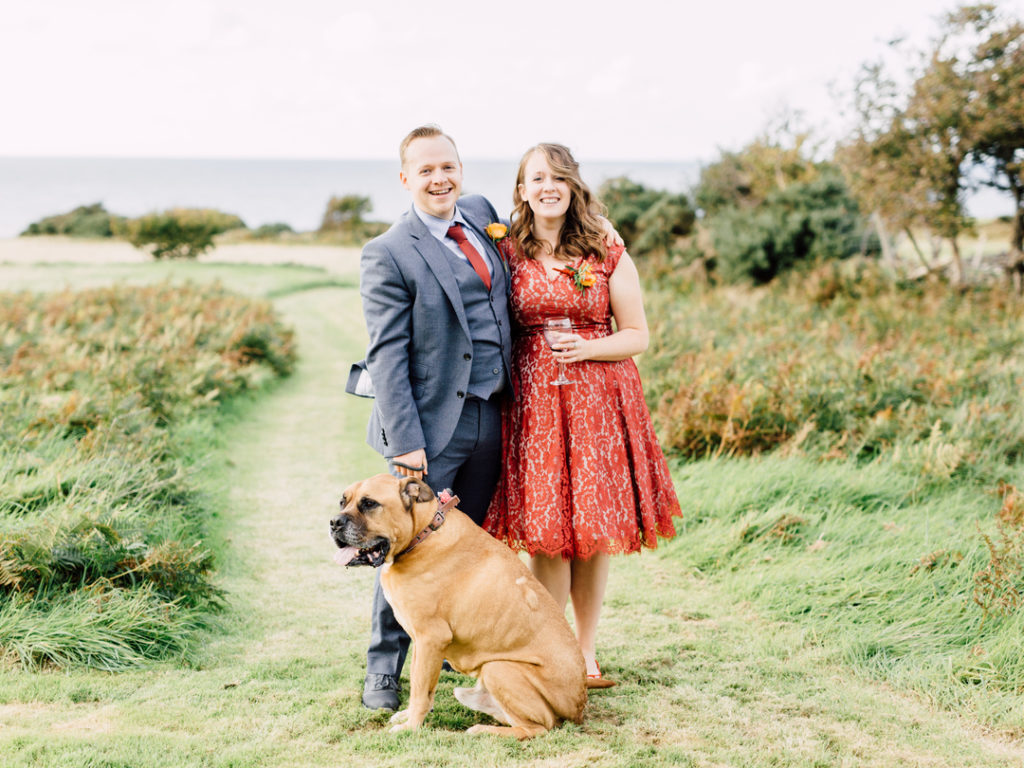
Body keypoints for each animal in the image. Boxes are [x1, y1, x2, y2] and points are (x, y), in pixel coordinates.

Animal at [327, 475, 585, 741]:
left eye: (370, 504)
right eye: (342, 501)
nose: (334, 522)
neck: (422, 535)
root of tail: (578, 707)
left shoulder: (431, 638)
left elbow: (420, 690)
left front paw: (411, 726)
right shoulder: (421, 643)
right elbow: (422, 686)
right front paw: (410, 716)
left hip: (498, 668)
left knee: (539, 727)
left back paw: (483, 730)